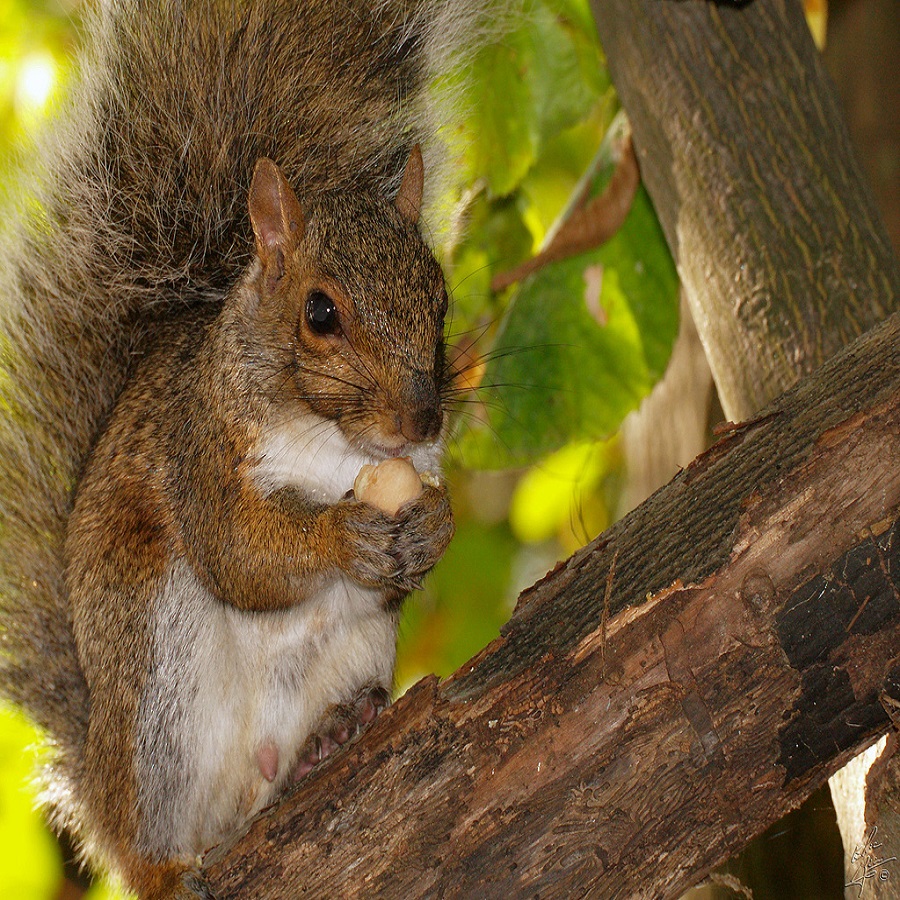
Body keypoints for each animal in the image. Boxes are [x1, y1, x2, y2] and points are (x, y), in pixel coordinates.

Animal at [0, 1, 500, 900]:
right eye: (320, 313)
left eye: (440, 299)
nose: (419, 420)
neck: (333, 443)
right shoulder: (199, 447)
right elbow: (237, 553)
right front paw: (339, 536)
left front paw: (432, 527)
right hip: (157, 683)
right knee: (141, 839)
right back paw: (164, 866)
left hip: (355, 653)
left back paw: (328, 740)